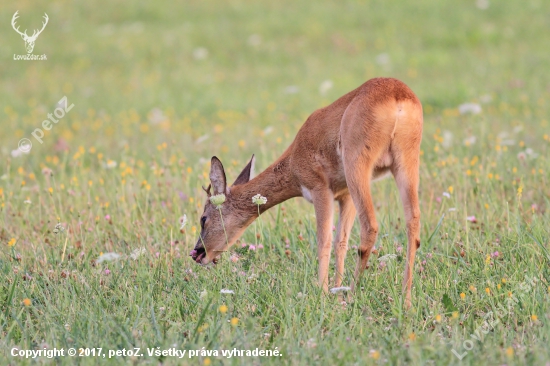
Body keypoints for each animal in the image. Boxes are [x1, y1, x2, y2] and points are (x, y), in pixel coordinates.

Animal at [192, 78, 424, 308]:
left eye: (203, 218)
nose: (197, 253)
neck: (294, 158)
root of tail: (398, 96)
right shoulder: (345, 196)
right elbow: (341, 242)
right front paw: (336, 292)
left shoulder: (320, 189)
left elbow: (324, 241)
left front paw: (323, 294)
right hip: (405, 164)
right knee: (413, 224)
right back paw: (406, 300)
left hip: (358, 167)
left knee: (370, 226)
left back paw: (352, 296)